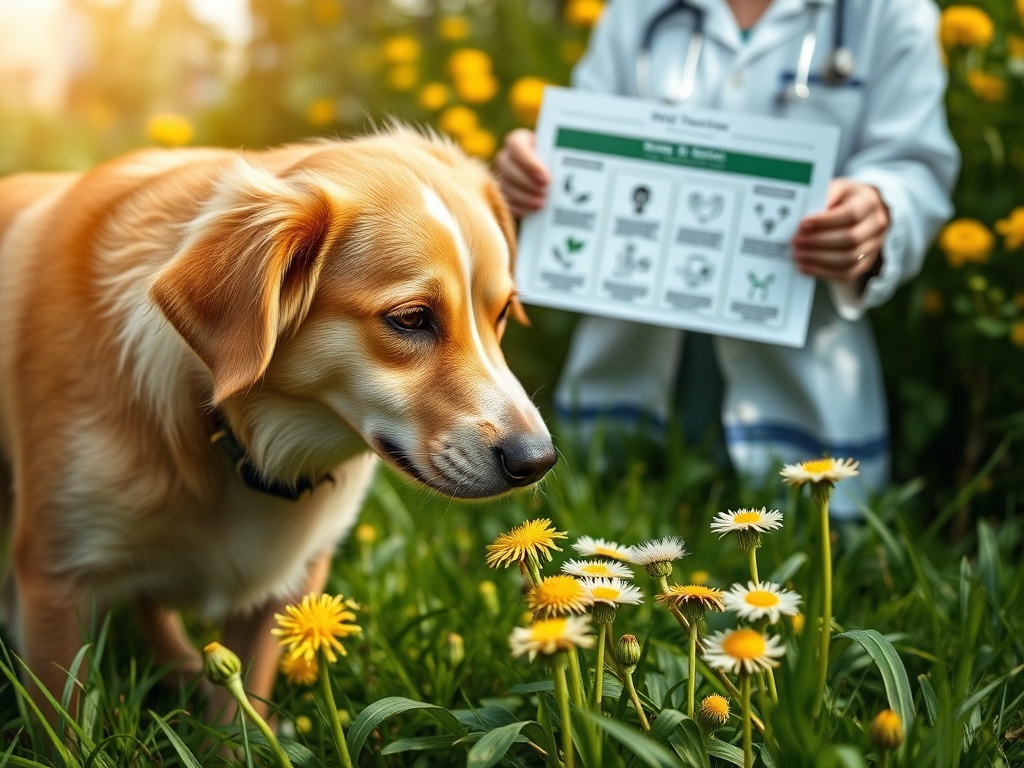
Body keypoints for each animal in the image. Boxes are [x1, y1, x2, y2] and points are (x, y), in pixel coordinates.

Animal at [0, 129, 552, 720]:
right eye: (410, 318)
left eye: (502, 312)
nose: (538, 461)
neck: (230, 436)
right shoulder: (56, 580)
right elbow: (62, 718)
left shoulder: (280, 589)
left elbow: (240, 719)